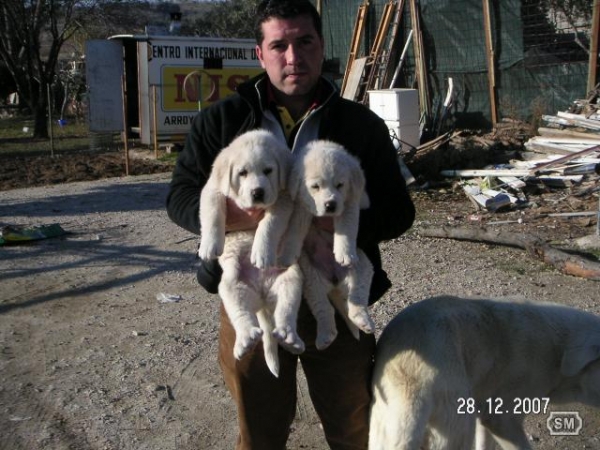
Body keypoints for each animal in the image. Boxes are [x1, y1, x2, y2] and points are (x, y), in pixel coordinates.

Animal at [198, 130, 304, 376]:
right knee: (241, 316)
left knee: (286, 312)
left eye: (268, 171)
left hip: (291, 280)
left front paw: (261, 252)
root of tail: (263, 297)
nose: (258, 192)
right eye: (242, 173)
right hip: (231, 286)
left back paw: (290, 338)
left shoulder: (284, 199)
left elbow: (269, 224)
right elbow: (213, 213)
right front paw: (209, 245)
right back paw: (246, 339)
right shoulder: (213, 189)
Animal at [278, 139, 372, 350]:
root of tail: (336, 282)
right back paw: (325, 337)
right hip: (313, 282)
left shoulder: (350, 203)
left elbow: (346, 227)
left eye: (340, 185)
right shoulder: (300, 207)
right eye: (315, 186)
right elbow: (294, 230)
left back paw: (363, 321)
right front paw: (288, 254)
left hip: (362, 267)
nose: (330, 205)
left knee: (357, 299)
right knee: (324, 308)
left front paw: (344, 253)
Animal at [368, 296, 600, 450]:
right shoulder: (503, 419)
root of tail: (414, 383)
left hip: (384, 429)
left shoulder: (485, 414)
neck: (559, 351)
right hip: (457, 428)